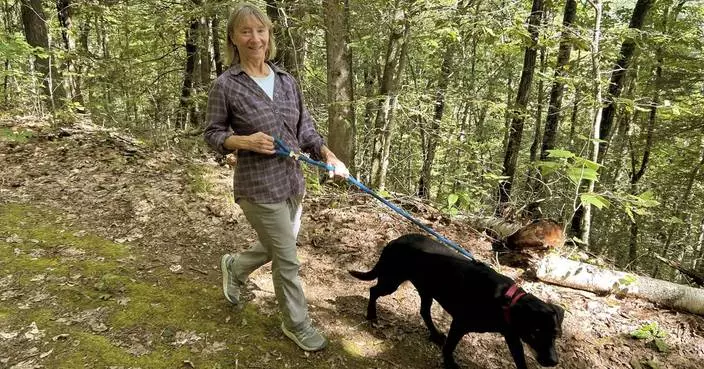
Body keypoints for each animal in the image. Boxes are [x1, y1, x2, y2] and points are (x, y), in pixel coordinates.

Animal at [350, 234, 564, 366]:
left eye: (555, 333)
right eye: (536, 332)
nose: (553, 361)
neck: (505, 300)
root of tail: (394, 241)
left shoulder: (512, 336)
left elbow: (520, 361)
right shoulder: (460, 324)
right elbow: (449, 348)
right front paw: (450, 364)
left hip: (426, 290)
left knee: (424, 312)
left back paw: (436, 335)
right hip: (392, 281)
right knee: (373, 290)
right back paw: (371, 315)